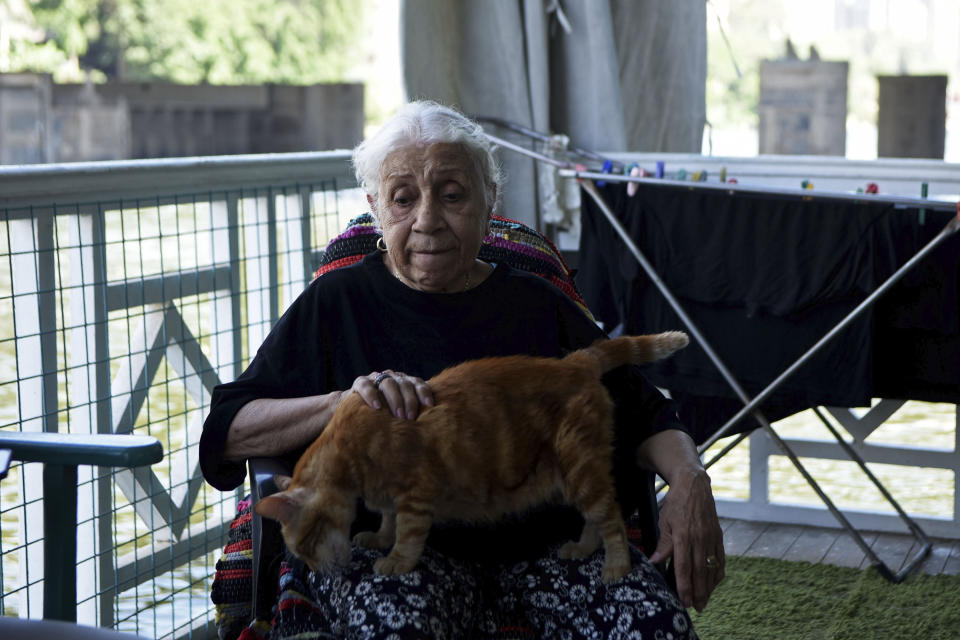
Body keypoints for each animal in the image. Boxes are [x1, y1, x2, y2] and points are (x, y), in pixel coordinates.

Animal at [253, 332, 688, 584]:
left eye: (307, 543)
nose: (315, 571)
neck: (347, 451)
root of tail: (575, 361)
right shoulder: (391, 499)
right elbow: (388, 520)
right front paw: (378, 538)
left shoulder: (415, 494)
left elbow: (408, 535)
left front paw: (395, 560)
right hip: (570, 475)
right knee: (595, 520)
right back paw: (582, 549)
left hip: (581, 471)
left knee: (611, 518)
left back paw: (615, 566)